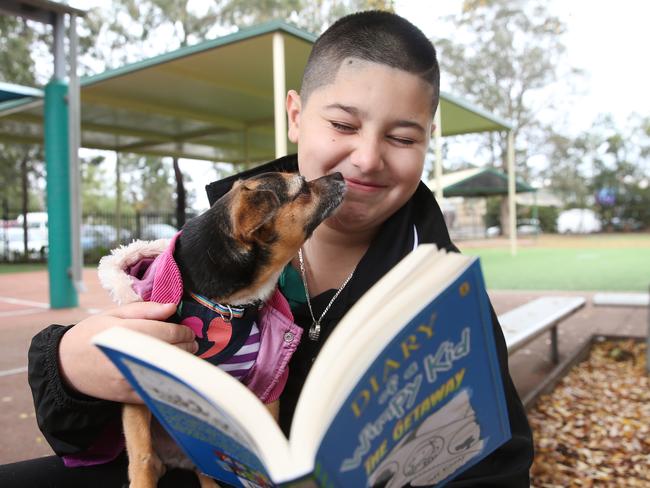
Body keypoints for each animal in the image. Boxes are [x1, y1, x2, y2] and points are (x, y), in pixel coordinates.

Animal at [112, 172, 344, 484]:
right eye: (303, 188)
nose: (340, 174)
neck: (228, 305)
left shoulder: (265, 390)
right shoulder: (135, 390)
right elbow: (142, 455)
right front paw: (141, 481)